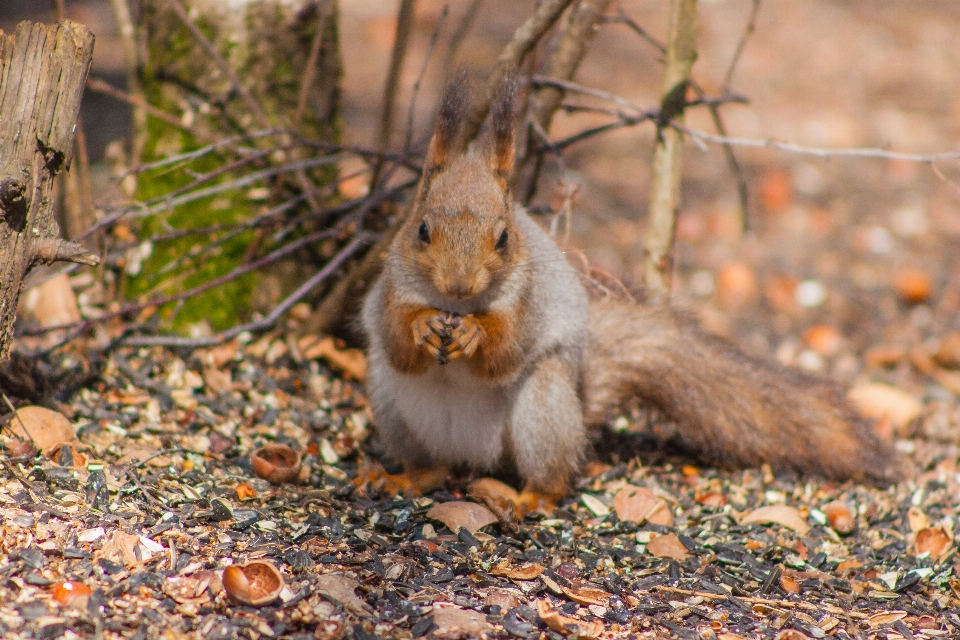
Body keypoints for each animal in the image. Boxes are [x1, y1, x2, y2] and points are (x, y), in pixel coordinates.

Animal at [360, 71, 900, 510]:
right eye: (421, 230)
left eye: (504, 238)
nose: (458, 284)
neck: (457, 305)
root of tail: (471, 455)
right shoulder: (390, 289)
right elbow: (395, 336)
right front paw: (422, 326)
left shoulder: (526, 301)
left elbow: (505, 349)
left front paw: (475, 334)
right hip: (389, 402)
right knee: (430, 465)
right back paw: (404, 478)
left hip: (544, 407)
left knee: (551, 478)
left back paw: (524, 499)